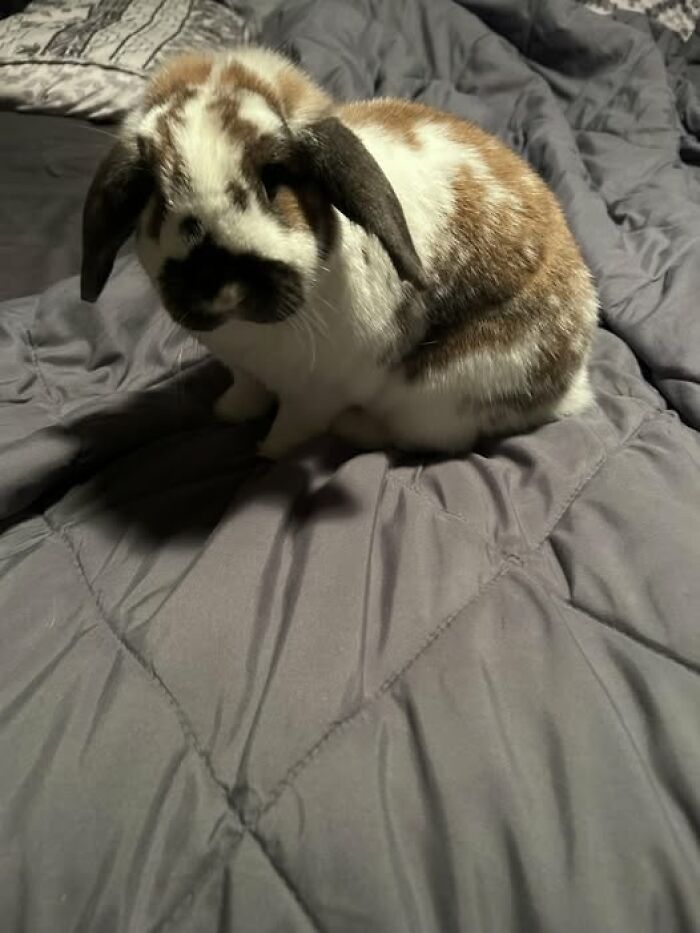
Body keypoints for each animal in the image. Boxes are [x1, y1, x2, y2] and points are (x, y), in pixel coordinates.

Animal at [81, 46, 597, 459]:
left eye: (274, 177)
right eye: (157, 194)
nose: (222, 286)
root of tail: (568, 386)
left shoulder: (315, 396)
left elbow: (291, 429)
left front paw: (266, 454)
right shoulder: (244, 370)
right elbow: (246, 393)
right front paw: (226, 413)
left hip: (439, 393)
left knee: (425, 439)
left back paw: (354, 428)